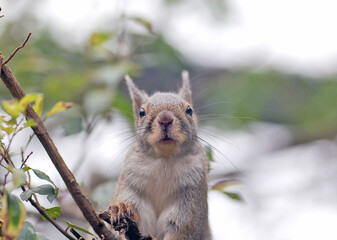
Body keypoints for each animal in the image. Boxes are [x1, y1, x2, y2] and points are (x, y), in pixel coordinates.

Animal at [110, 71, 210, 240]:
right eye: (141, 112)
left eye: (189, 110)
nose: (165, 119)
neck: (164, 159)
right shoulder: (130, 185)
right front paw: (119, 210)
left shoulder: (192, 197)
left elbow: (182, 228)